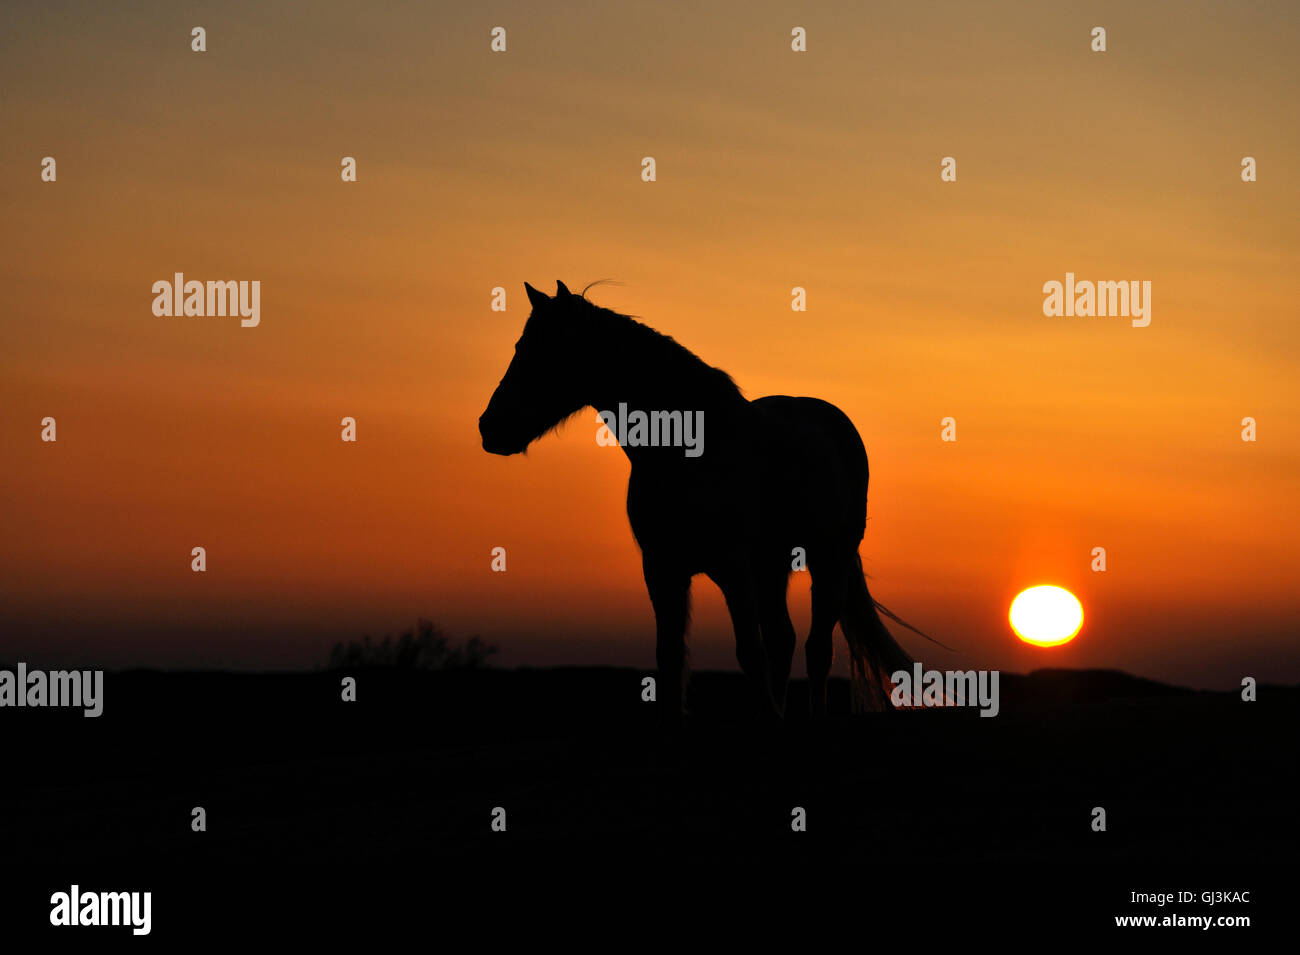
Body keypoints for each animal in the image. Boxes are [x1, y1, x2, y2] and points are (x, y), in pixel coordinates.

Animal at [478, 280, 915, 722]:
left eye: (547, 349)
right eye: (521, 345)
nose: (489, 427)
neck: (687, 451)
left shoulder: (733, 567)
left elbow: (749, 654)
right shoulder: (662, 569)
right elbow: (670, 659)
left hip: (828, 561)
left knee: (816, 650)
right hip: (772, 567)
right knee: (784, 640)